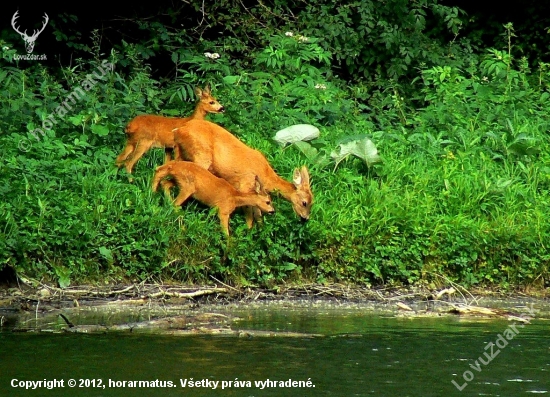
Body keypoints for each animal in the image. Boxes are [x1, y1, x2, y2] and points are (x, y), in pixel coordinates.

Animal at [174, 118, 314, 226]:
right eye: (304, 202)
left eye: (312, 202)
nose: (305, 219)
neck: (267, 177)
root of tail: (180, 129)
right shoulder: (246, 184)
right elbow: (250, 212)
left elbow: (258, 213)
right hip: (201, 155)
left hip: (180, 152)